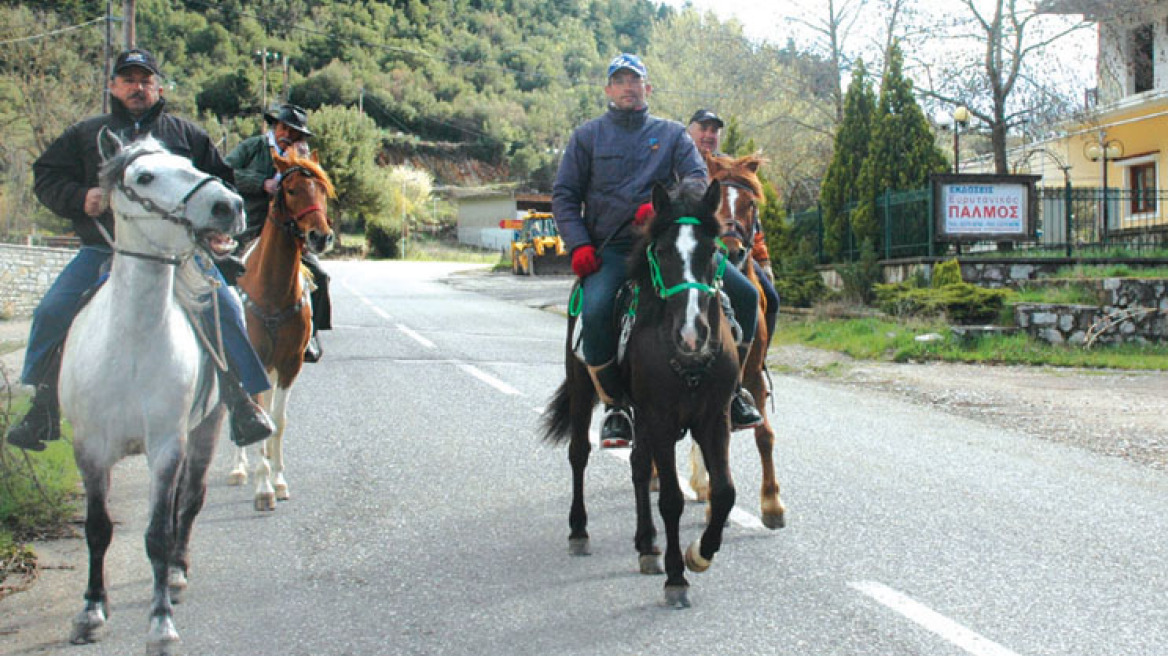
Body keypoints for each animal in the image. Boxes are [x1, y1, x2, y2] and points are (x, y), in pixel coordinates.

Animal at [61, 128, 244, 653]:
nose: (229, 205)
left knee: (191, 498)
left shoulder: (166, 445)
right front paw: (91, 610)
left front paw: (160, 620)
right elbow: (97, 528)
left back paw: (178, 573)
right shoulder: (89, 447)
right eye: (143, 176)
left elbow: (158, 533)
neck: (131, 347)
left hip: (205, 429)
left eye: (191, 162)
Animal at [228, 150, 336, 508]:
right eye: (291, 189)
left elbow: (277, 421)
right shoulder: (256, 362)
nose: (321, 236)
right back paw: (239, 468)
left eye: (323, 190)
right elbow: (260, 413)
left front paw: (277, 480)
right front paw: (262, 487)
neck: (272, 290)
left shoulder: (290, 364)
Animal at [539, 178, 738, 606]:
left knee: (637, 467)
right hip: (583, 390)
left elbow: (725, 492)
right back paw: (579, 531)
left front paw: (700, 554)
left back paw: (647, 545)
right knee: (578, 454)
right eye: (661, 251)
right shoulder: (661, 419)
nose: (692, 334)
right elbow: (672, 499)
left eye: (712, 251)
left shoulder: (714, 418)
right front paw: (677, 578)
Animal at [686, 150, 789, 527]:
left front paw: (772, 504)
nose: (731, 250)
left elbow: (764, 435)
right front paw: (717, 507)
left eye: (751, 203)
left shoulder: (753, 375)